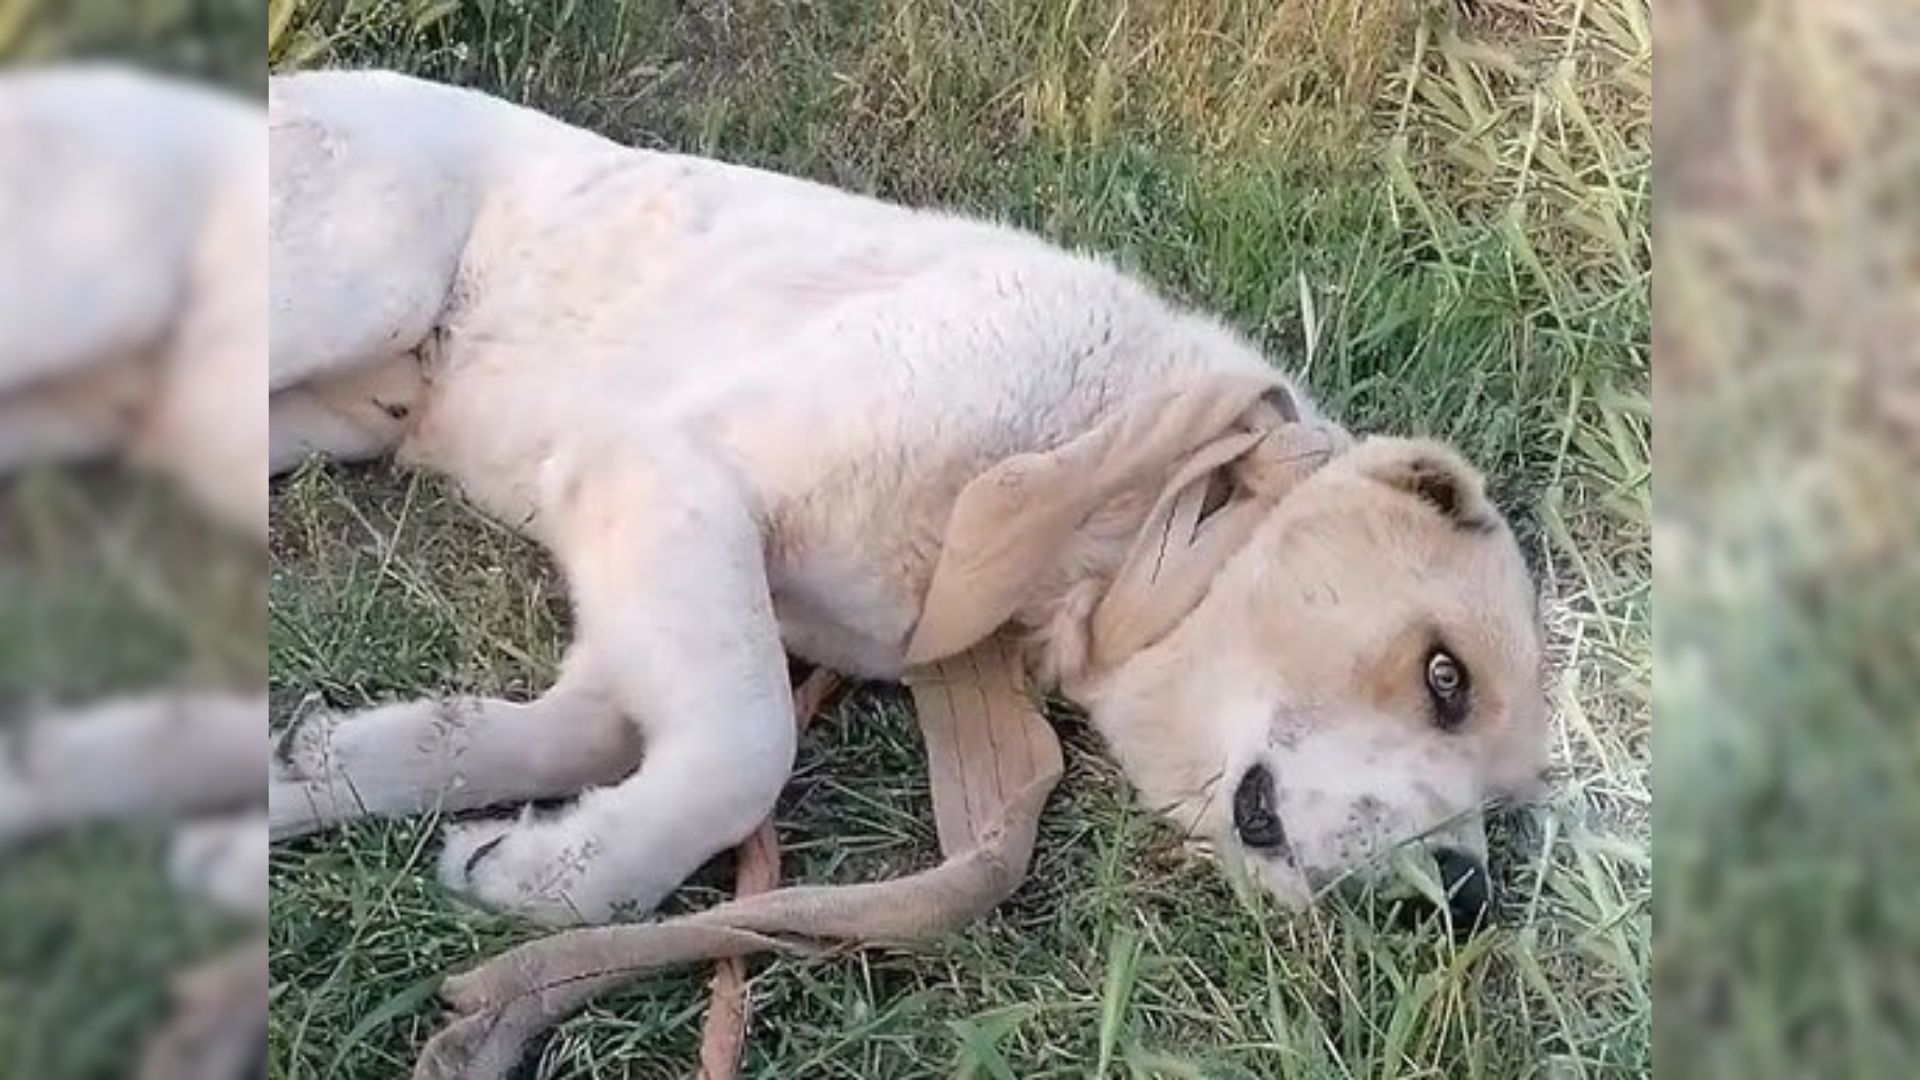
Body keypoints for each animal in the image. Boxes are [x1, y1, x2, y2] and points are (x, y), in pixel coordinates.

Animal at [270, 69, 1551, 926]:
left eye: (1509, 812)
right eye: (1446, 677)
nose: (1465, 901)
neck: (1105, 498)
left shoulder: (651, 573)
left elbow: (555, 733)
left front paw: (326, 770)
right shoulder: (666, 470)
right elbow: (748, 746)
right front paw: (576, 881)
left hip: (349, 407)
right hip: (367, 280)